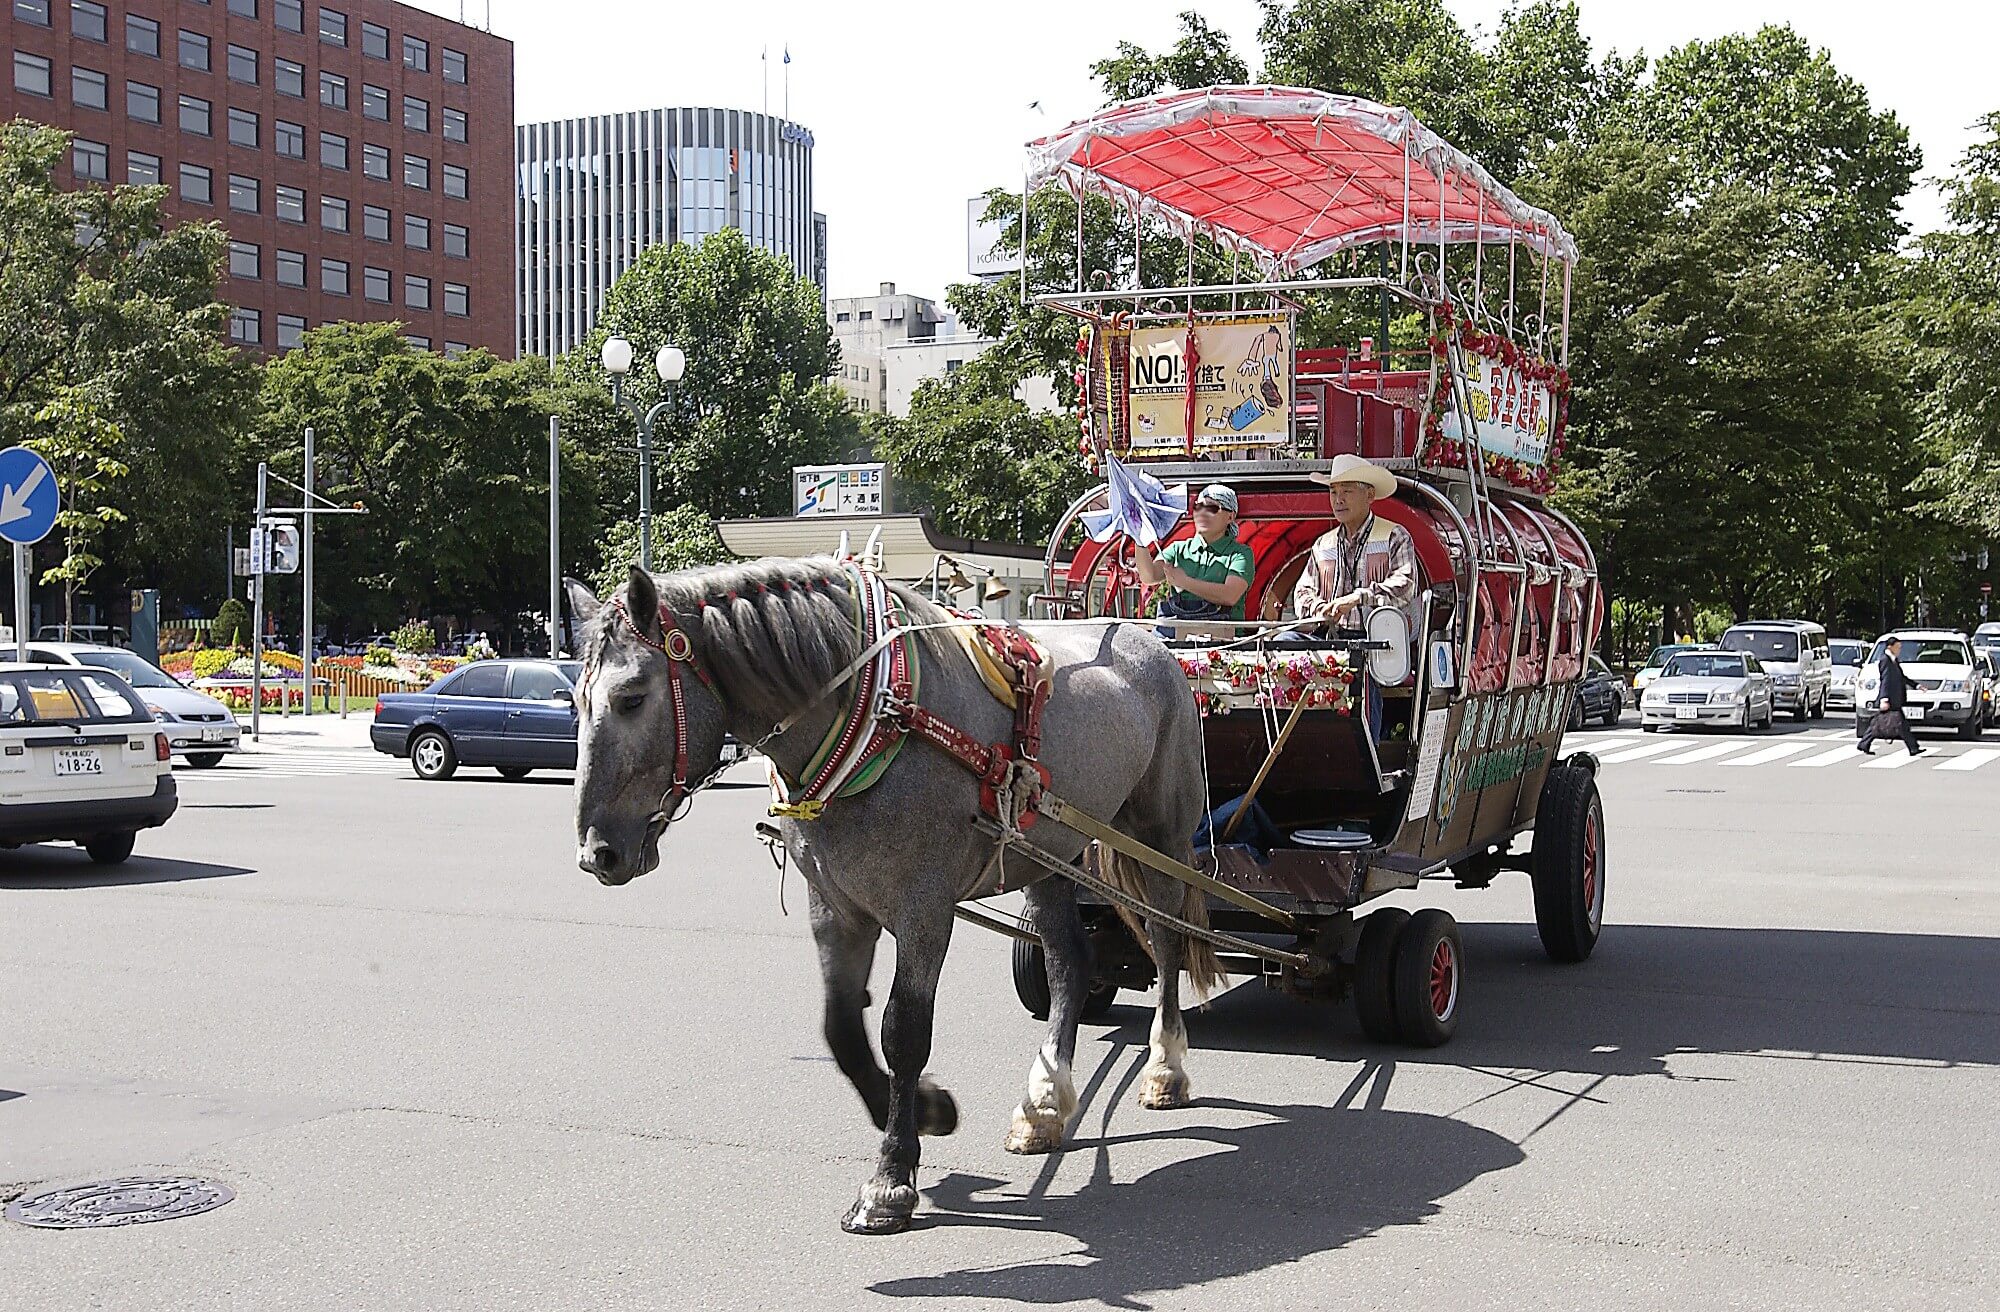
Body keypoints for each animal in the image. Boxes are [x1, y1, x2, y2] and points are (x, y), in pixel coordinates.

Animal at [564, 560, 1216, 1232]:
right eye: (574, 702)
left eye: (631, 698)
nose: (597, 853)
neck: (879, 718)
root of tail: (1146, 639)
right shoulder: (835, 906)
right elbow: (840, 1028)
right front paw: (923, 1110)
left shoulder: (924, 908)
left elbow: (904, 1032)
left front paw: (891, 1175)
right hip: (1049, 851)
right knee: (1069, 962)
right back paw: (1044, 1103)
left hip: (1160, 837)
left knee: (1168, 941)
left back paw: (1165, 1066)